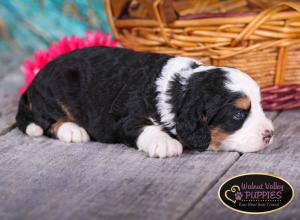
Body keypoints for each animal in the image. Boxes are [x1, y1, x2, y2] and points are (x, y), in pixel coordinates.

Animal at [16, 46, 274, 157]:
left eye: (261, 106)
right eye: (238, 115)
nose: (269, 134)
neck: (178, 89)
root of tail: (32, 85)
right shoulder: (124, 118)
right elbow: (145, 127)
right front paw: (165, 143)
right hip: (53, 92)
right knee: (47, 121)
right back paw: (73, 130)